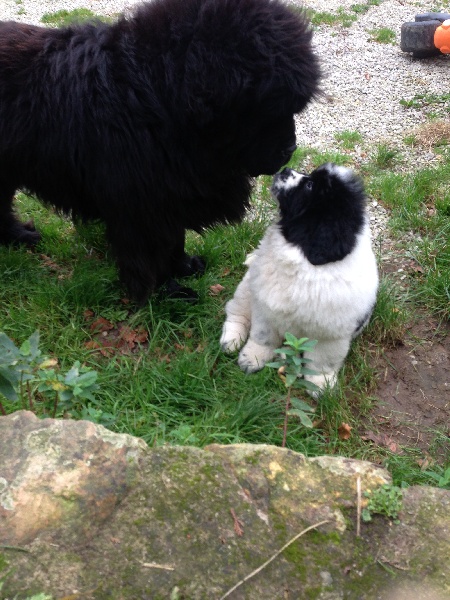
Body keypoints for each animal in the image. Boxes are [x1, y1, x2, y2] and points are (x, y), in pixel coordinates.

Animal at [0, 0, 320, 302]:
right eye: (268, 106)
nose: (290, 148)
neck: (158, 97)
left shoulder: (169, 195)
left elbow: (174, 240)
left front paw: (184, 267)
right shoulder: (141, 206)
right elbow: (149, 255)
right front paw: (165, 293)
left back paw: (19, 236)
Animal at [221, 164, 380, 394]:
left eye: (310, 185)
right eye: (311, 176)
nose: (286, 169)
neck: (304, 259)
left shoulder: (331, 333)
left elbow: (322, 360)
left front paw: (320, 384)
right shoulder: (265, 306)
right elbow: (262, 336)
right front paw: (253, 359)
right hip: (247, 286)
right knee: (236, 312)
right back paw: (231, 339)